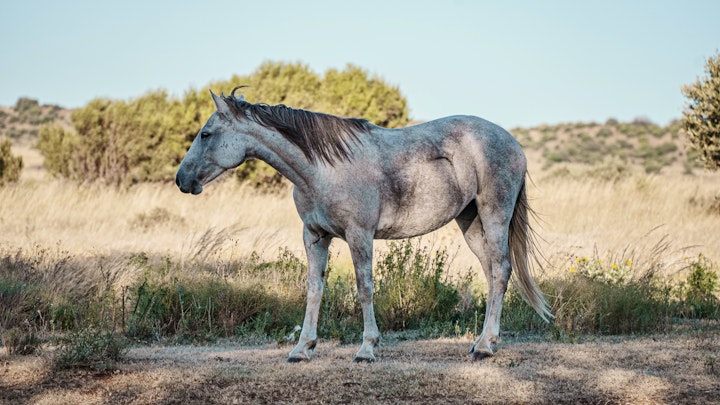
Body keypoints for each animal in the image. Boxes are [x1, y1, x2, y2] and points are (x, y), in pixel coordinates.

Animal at [174, 87, 552, 362]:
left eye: (206, 134)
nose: (182, 179)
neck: (322, 169)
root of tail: (513, 142)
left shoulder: (360, 235)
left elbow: (364, 288)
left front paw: (367, 348)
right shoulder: (314, 237)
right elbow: (314, 289)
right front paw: (302, 349)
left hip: (494, 215)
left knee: (501, 270)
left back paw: (486, 347)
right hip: (471, 222)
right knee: (491, 273)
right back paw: (482, 341)